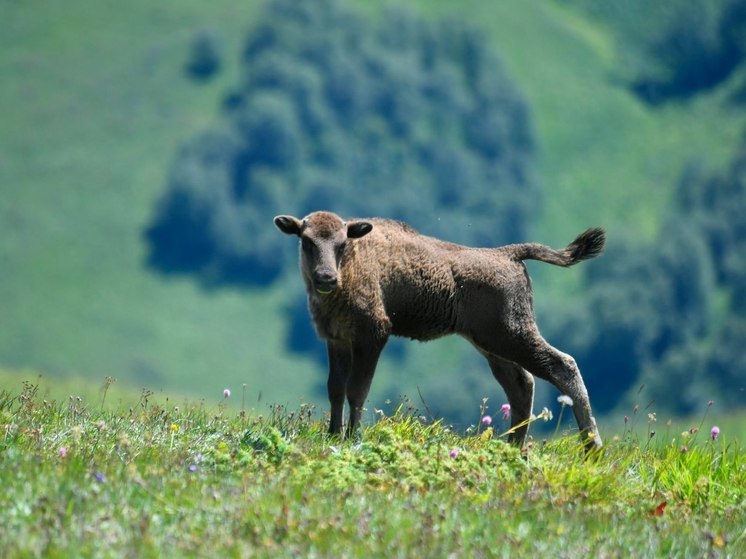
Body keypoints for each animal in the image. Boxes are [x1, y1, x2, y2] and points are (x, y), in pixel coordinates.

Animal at [274, 210, 604, 450]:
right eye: (306, 240)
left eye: (342, 243)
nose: (326, 278)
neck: (354, 263)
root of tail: (507, 253)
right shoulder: (337, 341)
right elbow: (335, 389)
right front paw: (333, 434)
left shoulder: (372, 337)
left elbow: (357, 390)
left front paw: (353, 437)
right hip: (492, 345)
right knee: (521, 384)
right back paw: (513, 449)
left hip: (513, 336)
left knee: (562, 366)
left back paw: (592, 449)